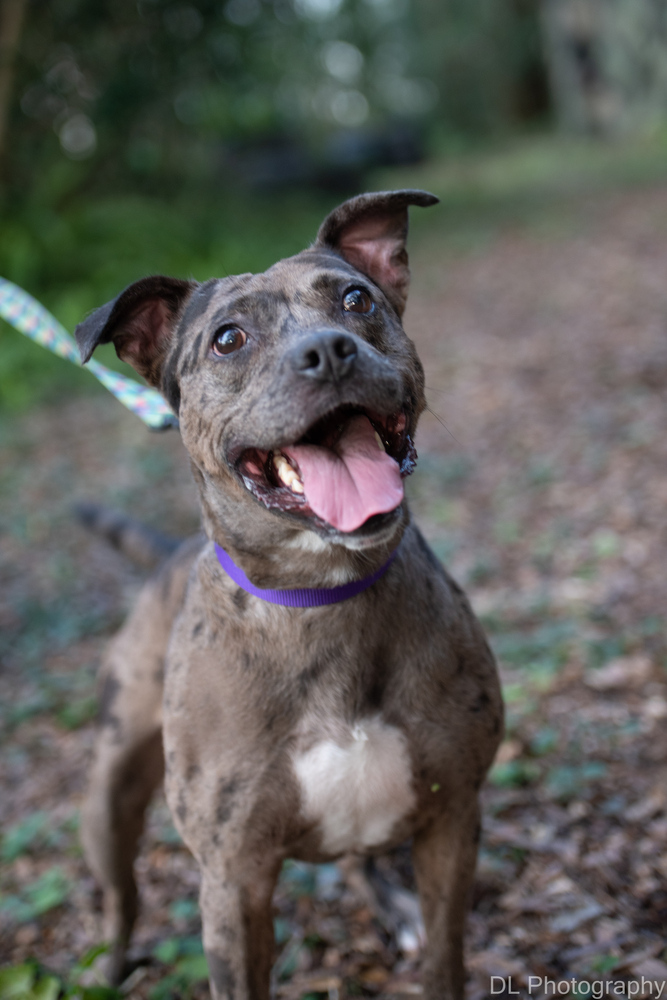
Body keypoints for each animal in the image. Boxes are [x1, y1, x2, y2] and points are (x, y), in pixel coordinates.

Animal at [75, 189, 504, 1000]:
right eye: (228, 339)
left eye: (356, 299)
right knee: (121, 893)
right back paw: (111, 964)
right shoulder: (234, 880)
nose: (329, 350)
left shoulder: (452, 819)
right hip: (111, 789)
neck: (324, 594)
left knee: (361, 856)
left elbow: (444, 959)